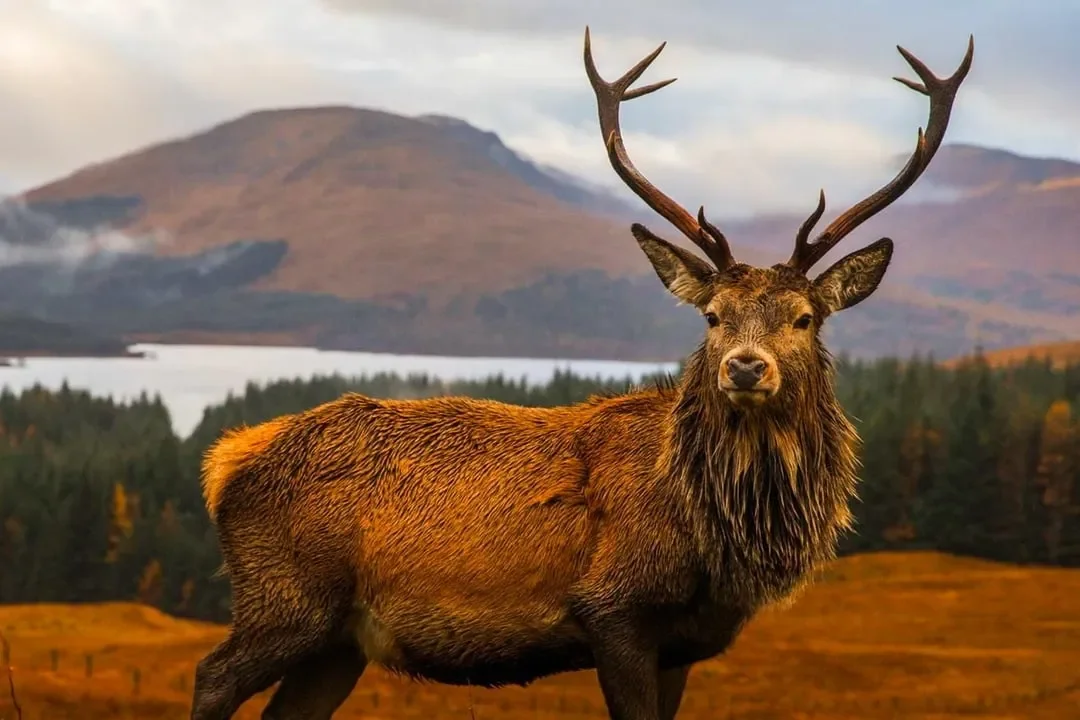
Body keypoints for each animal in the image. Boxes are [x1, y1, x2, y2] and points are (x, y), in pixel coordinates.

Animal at [191, 26, 973, 720]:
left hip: (339, 641)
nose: (746, 368)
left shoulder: (683, 647)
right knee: (210, 676)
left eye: (805, 318)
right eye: (712, 316)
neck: (715, 540)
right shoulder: (614, 609)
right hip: (287, 597)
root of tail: (225, 462)